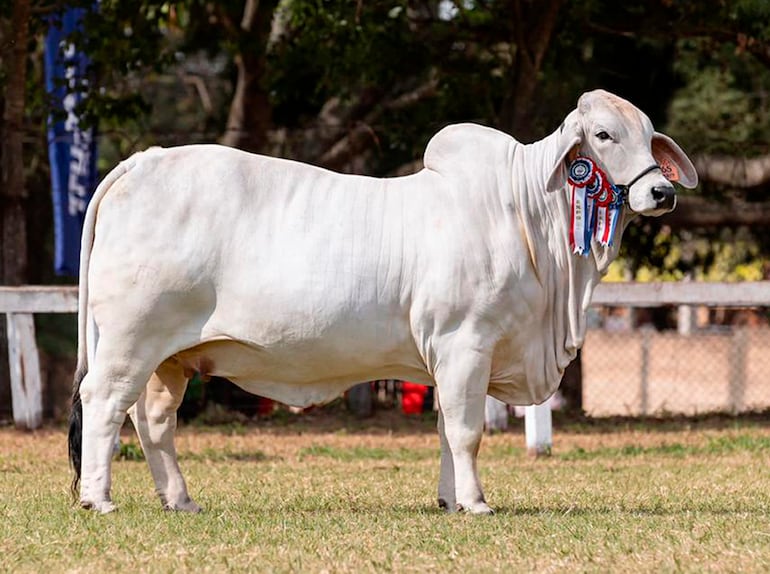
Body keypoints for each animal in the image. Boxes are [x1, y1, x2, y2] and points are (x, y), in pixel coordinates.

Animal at [70, 91, 696, 516]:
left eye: (650, 136)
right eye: (604, 136)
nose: (661, 191)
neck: (525, 213)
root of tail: (143, 160)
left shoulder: (449, 358)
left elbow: (446, 430)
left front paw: (450, 500)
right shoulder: (465, 343)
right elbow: (467, 430)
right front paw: (477, 503)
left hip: (170, 358)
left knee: (153, 422)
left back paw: (180, 500)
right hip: (131, 339)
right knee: (103, 402)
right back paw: (98, 499)